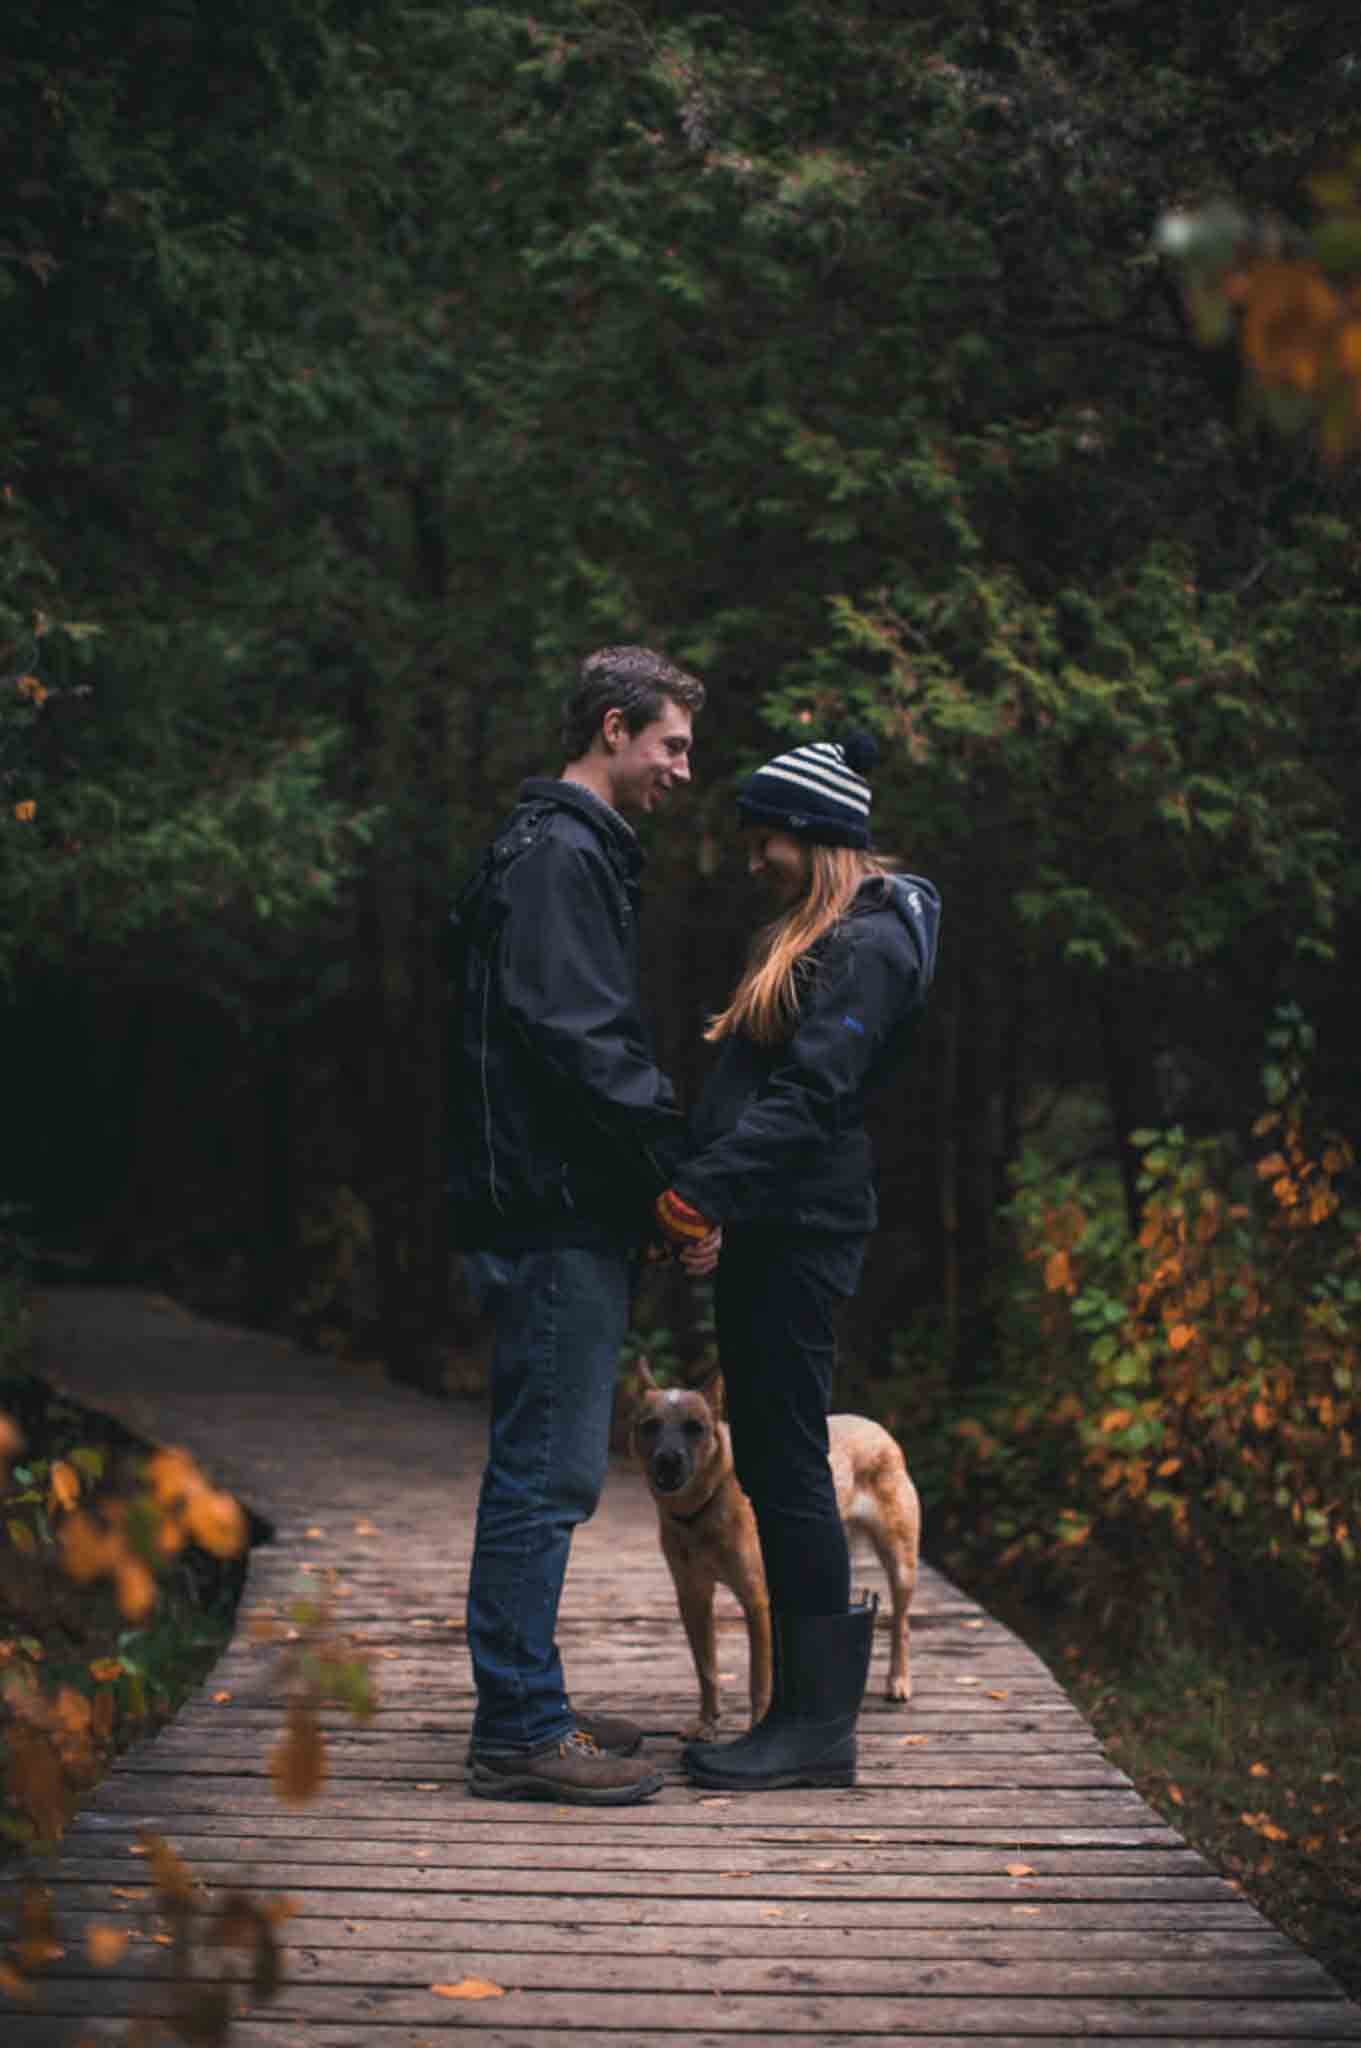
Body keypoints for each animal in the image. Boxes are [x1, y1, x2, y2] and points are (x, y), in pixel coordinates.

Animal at [630, 1368, 916, 1736]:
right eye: (650, 1425)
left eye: (695, 1427)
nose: (667, 1460)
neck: (701, 1511)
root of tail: (878, 1428)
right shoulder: (693, 1597)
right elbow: (706, 1670)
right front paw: (707, 1723)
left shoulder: (756, 1601)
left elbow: (758, 1678)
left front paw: (756, 1726)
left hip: (901, 1561)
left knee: (901, 1623)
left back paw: (899, 1681)